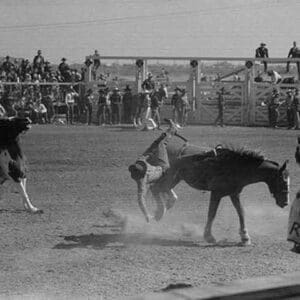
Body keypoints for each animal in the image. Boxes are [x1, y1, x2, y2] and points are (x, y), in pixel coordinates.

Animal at [130, 137, 290, 245]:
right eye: (282, 180)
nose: (286, 203)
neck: (234, 165)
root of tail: (160, 147)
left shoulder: (234, 193)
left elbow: (241, 212)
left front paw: (245, 237)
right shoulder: (216, 193)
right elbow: (212, 214)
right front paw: (209, 236)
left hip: (175, 178)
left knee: (160, 189)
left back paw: (166, 205)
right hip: (169, 177)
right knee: (155, 188)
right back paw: (159, 212)